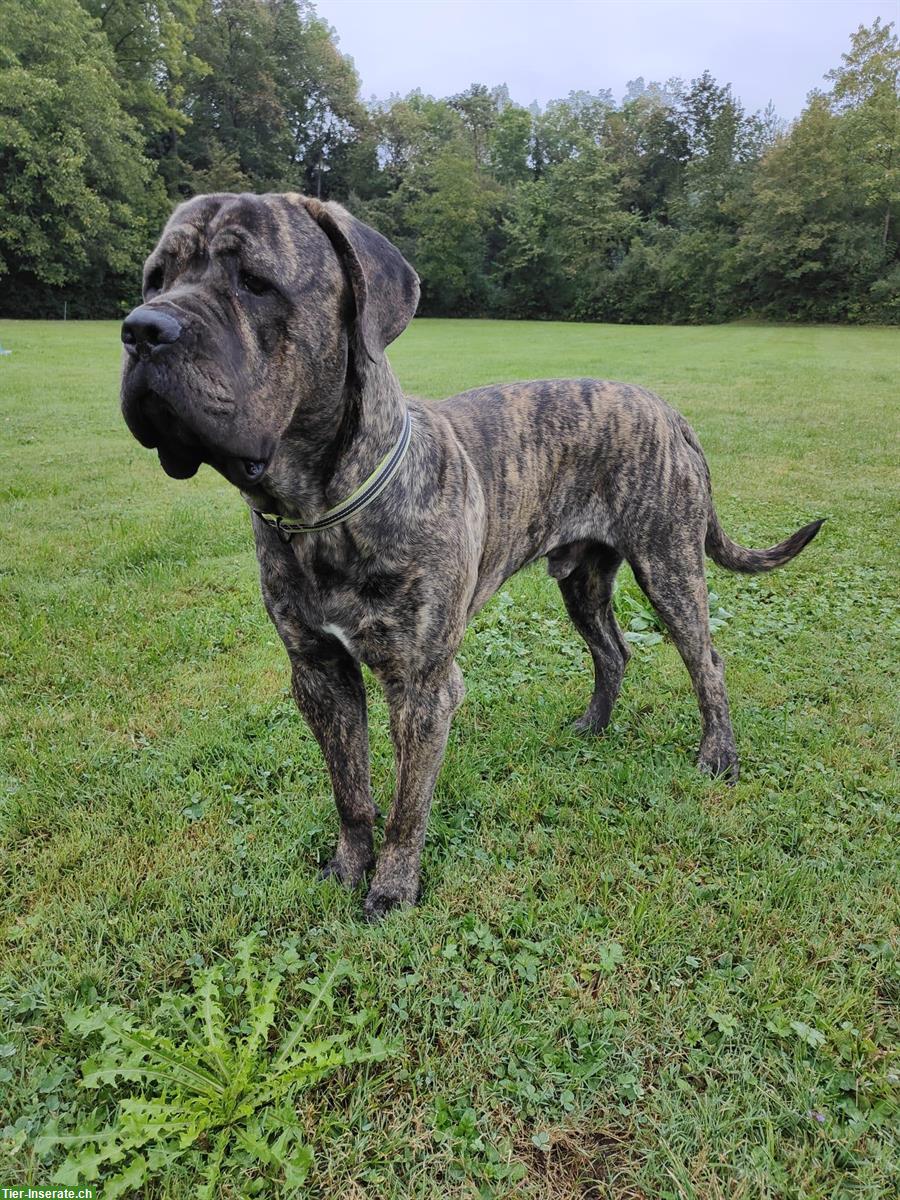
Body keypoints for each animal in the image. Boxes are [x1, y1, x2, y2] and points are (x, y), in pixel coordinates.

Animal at [120, 189, 825, 916]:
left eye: (255, 282)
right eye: (155, 278)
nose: (142, 329)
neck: (321, 512)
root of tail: (670, 411)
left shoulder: (423, 685)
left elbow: (407, 805)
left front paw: (392, 888)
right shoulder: (318, 673)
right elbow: (351, 790)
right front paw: (348, 866)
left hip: (669, 566)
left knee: (705, 660)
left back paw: (718, 756)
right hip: (583, 579)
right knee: (612, 650)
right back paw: (593, 726)